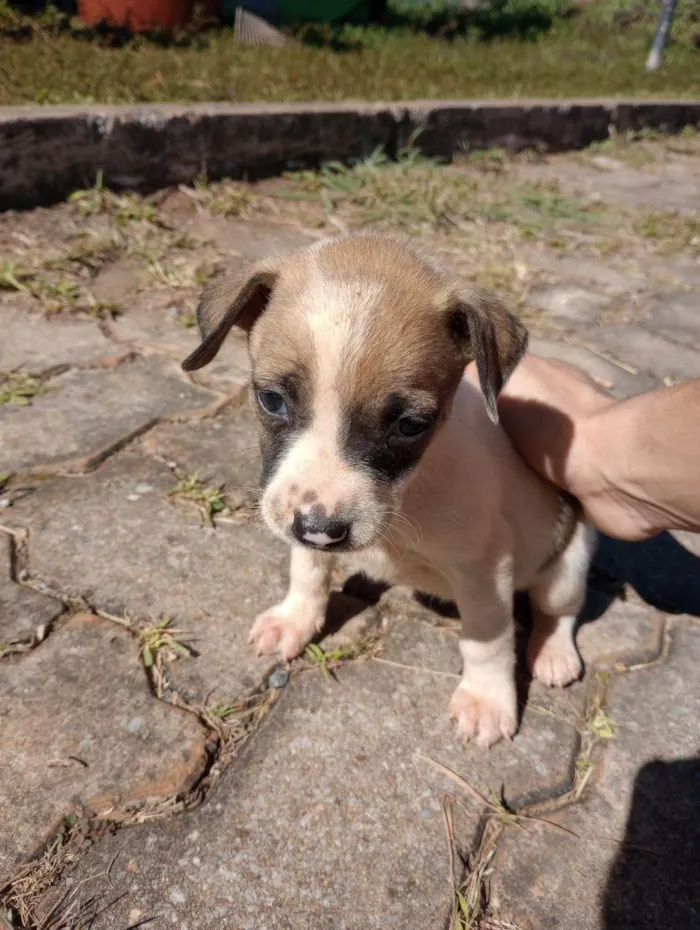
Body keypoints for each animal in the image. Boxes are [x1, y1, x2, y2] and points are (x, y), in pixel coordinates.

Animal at [183, 232, 592, 748]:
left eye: (410, 425)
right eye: (271, 400)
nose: (320, 530)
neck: (410, 495)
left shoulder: (485, 569)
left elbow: (487, 639)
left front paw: (486, 698)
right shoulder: (303, 516)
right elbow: (307, 571)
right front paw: (294, 620)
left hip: (567, 566)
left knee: (558, 613)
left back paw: (554, 653)